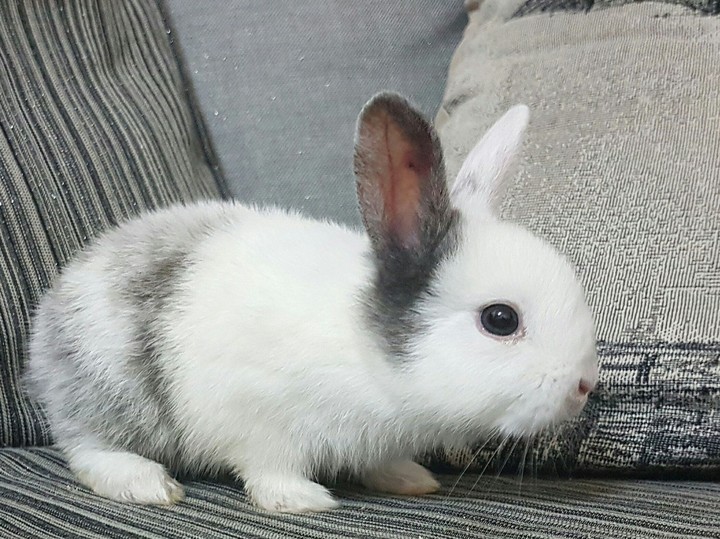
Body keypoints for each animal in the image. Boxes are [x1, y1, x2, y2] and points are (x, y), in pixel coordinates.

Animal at [25, 92, 599, 513]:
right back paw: (148, 483)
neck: (367, 357)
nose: (584, 386)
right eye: (500, 319)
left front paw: (410, 479)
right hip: (108, 391)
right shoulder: (258, 419)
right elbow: (268, 467)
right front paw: (302, 501)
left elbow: (381, 464)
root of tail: (54, 304)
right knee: (85, 447)